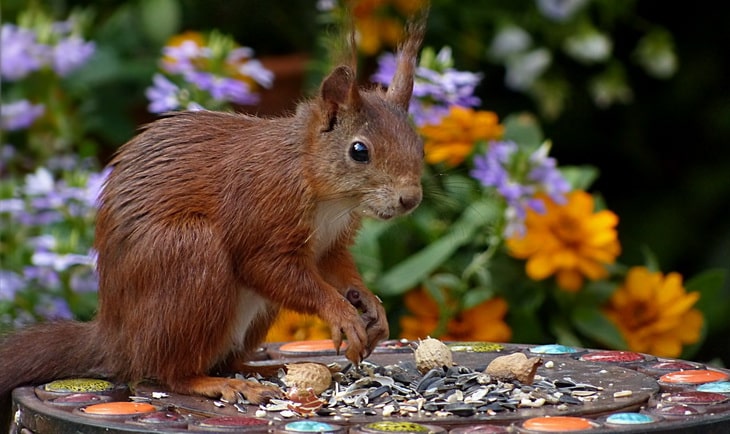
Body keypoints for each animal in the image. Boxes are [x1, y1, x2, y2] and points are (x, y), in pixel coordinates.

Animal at [0, 5, 424, 414]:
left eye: (417, 142)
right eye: (359, 151)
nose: (410, 199)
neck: (328, 195)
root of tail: (117, 339)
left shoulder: (332, 240)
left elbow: (335, 267)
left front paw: (369, 304)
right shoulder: (262, 207)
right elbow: (269, 268)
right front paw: (341, 312)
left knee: (225, 359)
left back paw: (267, 369)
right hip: (189, 255)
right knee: (171, 373)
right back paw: (221, 384)